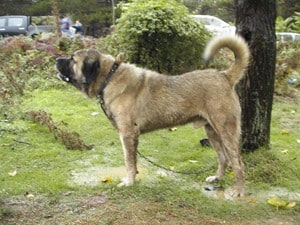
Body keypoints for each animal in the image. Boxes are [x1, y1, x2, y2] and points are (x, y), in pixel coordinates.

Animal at [55, 35, 250, 197]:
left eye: (72, 59)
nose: (56, 59)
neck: (109, 77)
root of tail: (224, 75)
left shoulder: (127, 134)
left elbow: (129, 161)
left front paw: (129, 182)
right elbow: (132, 161)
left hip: (226, 130)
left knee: (237, 162)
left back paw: (239, 191)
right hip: (211, 131)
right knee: (223, 158)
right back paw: (217, 178)